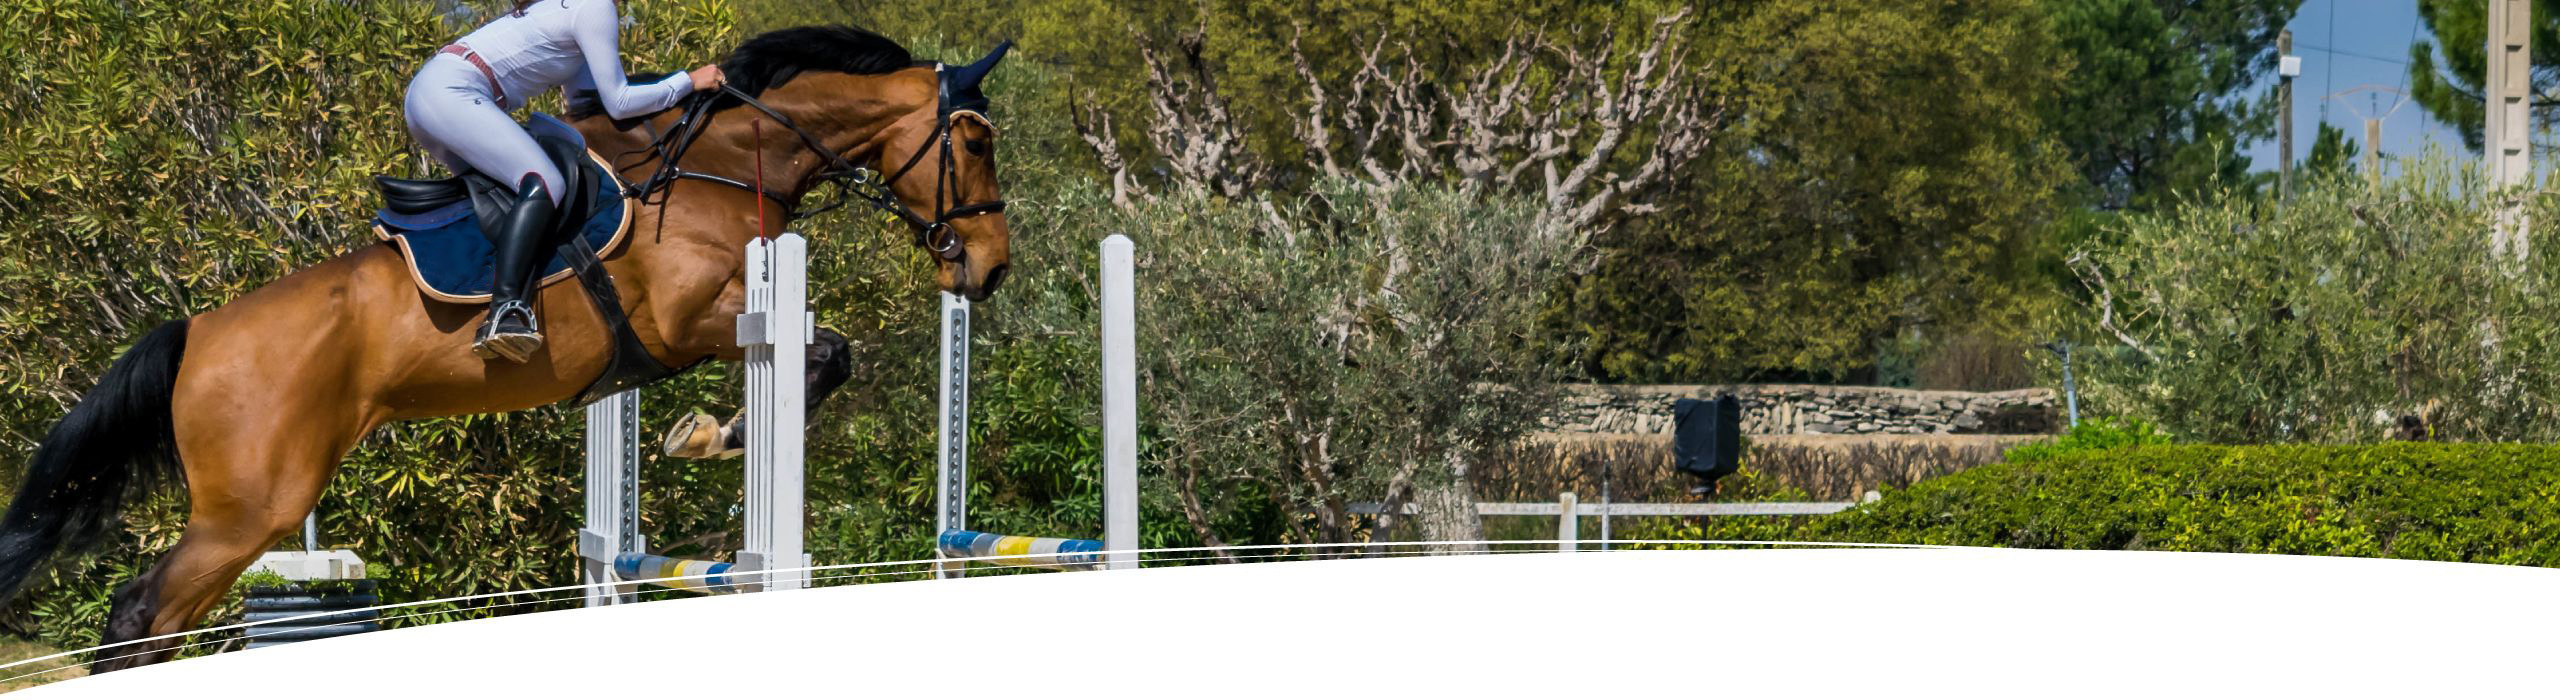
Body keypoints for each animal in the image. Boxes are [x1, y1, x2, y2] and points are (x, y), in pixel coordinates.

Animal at [0, 26, 1013, 672]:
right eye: (974, 141)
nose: (992, 267)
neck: (719, 163)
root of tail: (199, 331)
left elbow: (826, 353)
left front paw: (702, 434)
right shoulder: (690, 319)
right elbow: (824, 351)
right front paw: (709, 436)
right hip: (252, 506)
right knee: (142, 615)